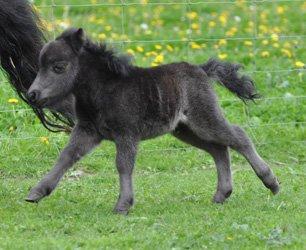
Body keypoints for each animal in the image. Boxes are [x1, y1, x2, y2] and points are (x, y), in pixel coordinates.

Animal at [26, 28, 280, 214]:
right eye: (40, 66)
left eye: (59, 67)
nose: (32, 95)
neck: (102, 90)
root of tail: (201, 69)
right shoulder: (88, 130)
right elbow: (67, 156)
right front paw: (37, 192)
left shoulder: (126, 133)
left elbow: (123, 165)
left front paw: (123, 205)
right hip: (184, 129)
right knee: (218, 149)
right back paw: (222, 194)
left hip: (204, 117)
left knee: (238, 136)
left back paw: (271, 182)